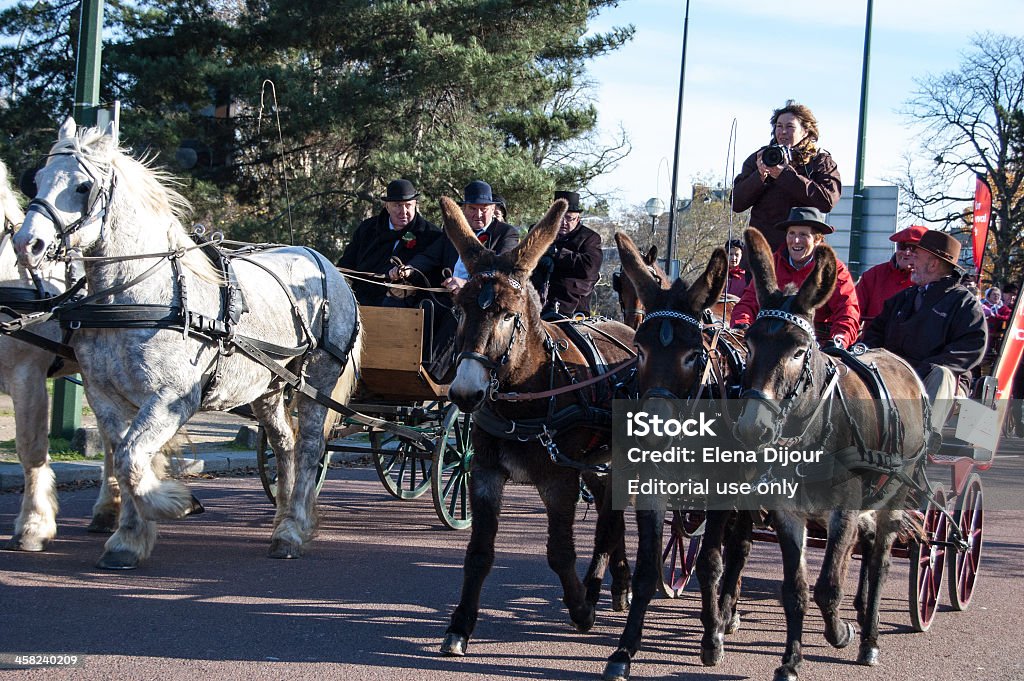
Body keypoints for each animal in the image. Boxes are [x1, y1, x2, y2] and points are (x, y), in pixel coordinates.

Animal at [14, 118, 362, 569]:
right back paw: (283, 516)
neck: (137, 295)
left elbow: (131, 459)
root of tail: (327, 266)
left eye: (82, 187)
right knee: (283, 443)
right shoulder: (104, 396)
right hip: (268, 386)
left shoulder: (172, 398)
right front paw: (129, 537)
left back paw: (293, 530)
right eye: (38, 179)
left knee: (309, 447)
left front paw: (173, 503)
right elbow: (124, 459)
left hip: (317, 380)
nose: (27, 244)